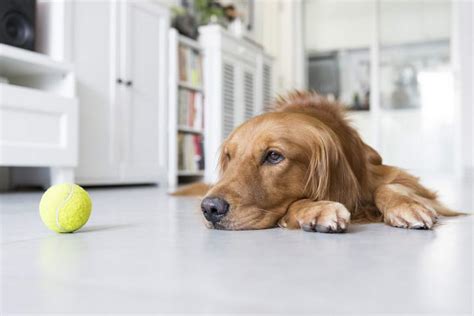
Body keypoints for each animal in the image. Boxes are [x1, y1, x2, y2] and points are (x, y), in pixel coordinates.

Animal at [200, 91, 460, 232]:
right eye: (229, 157)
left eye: (274, 155)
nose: (210, 208)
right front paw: (316, 208)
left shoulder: (395, 176)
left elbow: (390, 186)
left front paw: (407, 205)